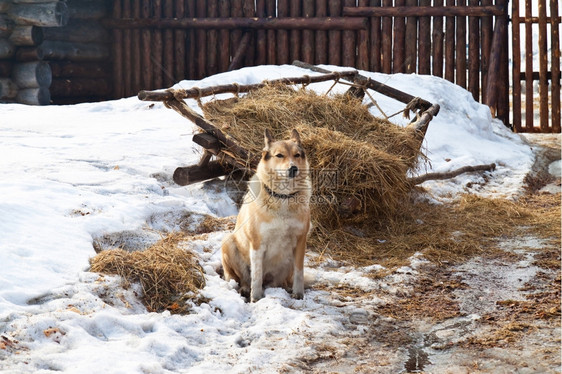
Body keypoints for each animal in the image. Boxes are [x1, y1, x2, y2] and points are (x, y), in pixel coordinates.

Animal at [220, 130, 310, 302]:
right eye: (279, 155)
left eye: (297, 155)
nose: (293, 168)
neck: (283, 198)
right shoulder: (256, 244)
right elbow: (256, 275)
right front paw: (255, 298)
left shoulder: (301, 241)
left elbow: (299, 272)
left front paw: (298, 294)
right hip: (228, 242)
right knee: (241, 278)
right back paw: (244, 289)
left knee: (278, 281)